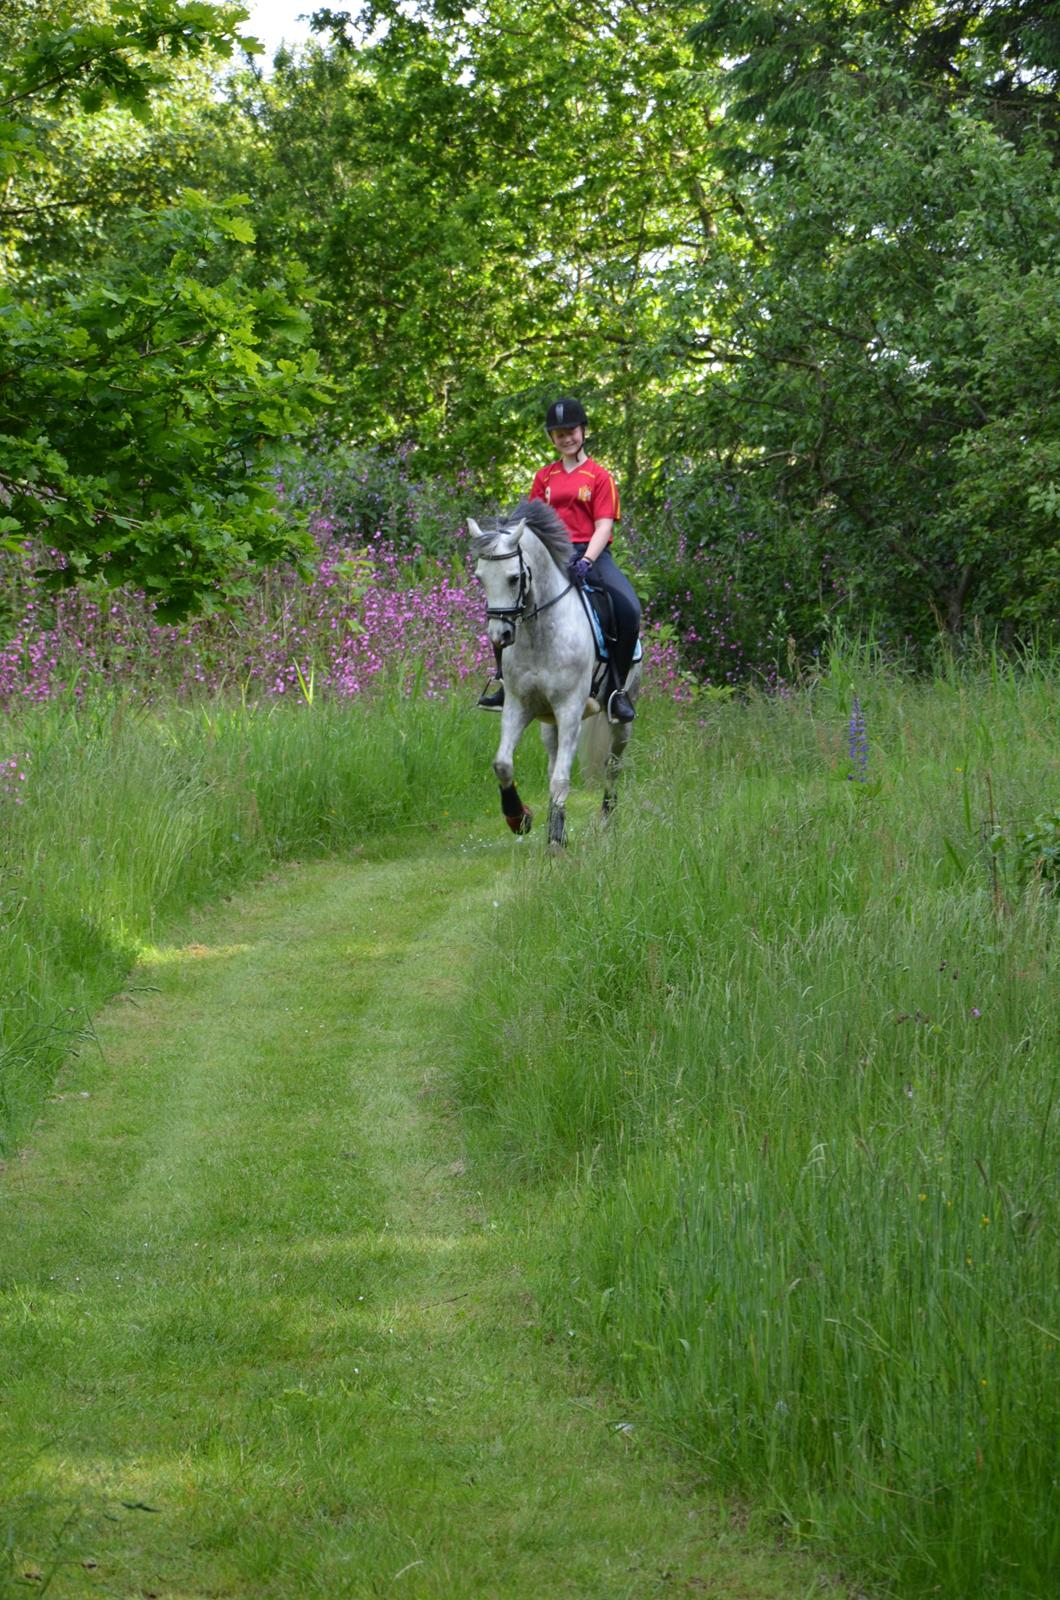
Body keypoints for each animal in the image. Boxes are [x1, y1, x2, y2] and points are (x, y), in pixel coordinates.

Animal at [467, 499, 640, 851]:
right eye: (480, 577)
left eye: (513, 578)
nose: (499, 636)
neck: (540, 632)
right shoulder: (518, 705)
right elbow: (503, 764)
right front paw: (518, 818)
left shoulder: (570, 708)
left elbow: (561, 779)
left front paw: (556, 841)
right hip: (549, 723)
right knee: (551, 762)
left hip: (620, 720)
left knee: (612, 765)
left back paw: (605, 818)